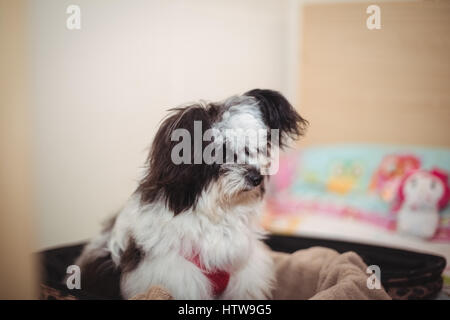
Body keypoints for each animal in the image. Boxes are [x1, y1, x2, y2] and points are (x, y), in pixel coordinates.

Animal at [75, 89, 306, 298]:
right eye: (222, 152)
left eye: (251, 149)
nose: (256, 177)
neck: (215, 212)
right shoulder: (176, 276)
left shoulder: (245, 273)